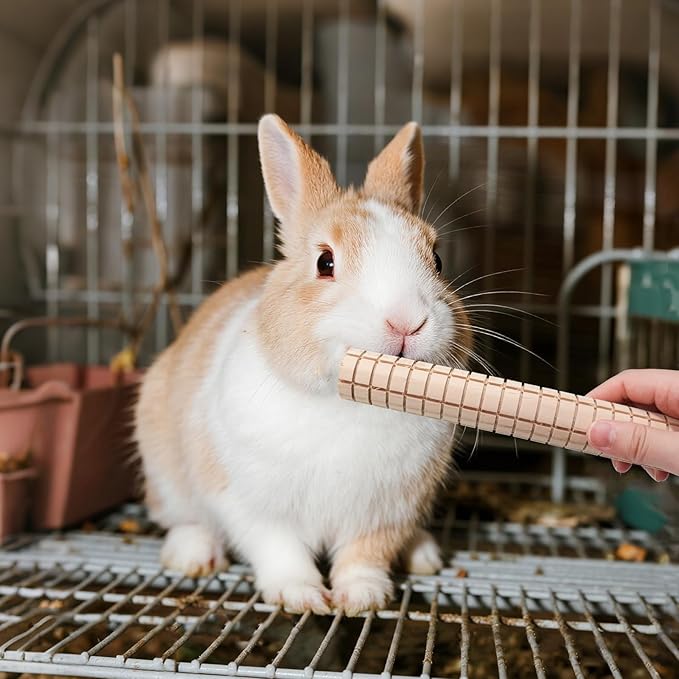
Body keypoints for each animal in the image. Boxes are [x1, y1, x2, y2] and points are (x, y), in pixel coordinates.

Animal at [135, 114, 472, 616]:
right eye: (325, 262)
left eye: (438, 258)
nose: (407, 320)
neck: (350, 404)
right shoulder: (252, 504)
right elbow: (279, 550)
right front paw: (302, 596)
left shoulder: (386, 512)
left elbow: (365, 555)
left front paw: (361, 597)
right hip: (165, 471)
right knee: (184, 517)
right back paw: (194, 554)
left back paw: (423, 554)